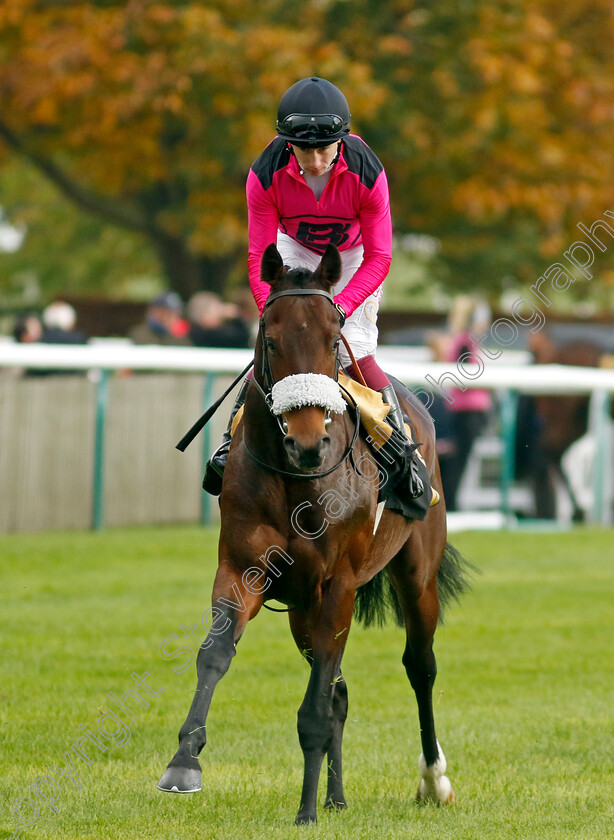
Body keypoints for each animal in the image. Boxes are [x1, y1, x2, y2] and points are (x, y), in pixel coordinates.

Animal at [160, 241, 472, 820]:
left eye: (332, 341)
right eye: (271, 340)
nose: (308, 443)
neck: (296, 481)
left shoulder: (338, 586)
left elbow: (315, 707)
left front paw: (304, 812)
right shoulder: (242, 570)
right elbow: (215, 654)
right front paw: (184, 763)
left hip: (416, 574)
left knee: (419, 665)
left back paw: (433, 780)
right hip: (300, 610)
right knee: (341, 694)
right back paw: (336, 796)